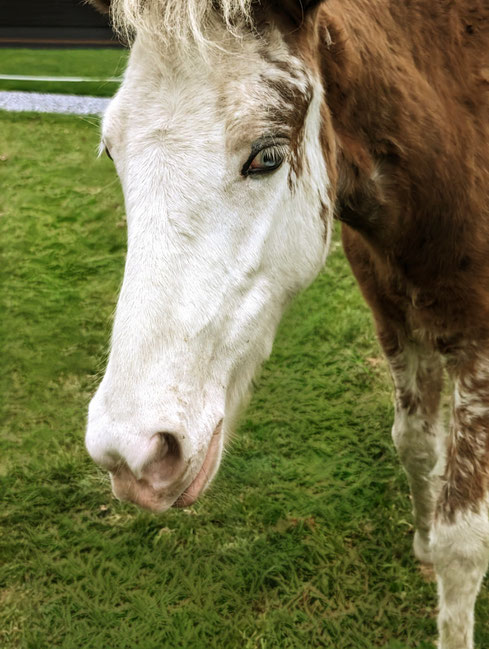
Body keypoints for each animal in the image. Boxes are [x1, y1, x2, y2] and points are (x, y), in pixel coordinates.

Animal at [85, 2, 488, 644]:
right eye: (111, 152)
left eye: (267, 156)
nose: (132, 453)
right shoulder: (396, 321)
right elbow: (416, 445)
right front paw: (423, 541)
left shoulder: (478, 347)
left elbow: (465, 541)